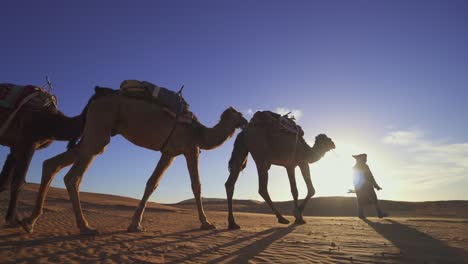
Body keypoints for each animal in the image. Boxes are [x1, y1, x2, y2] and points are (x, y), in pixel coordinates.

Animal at [0, 84, 112, 227]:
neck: (53, 123)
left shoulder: (16, 146)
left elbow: (4, 182)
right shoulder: (28, 142)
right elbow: (18, 182)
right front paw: (13, 220)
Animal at [21, 90, 249, 233]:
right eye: (239, 114)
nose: (246, 121)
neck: (201, 133)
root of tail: (94, 100)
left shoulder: (169, 153)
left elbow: (152, 183)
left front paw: (135, 224)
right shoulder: (190, 149)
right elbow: (196, 186)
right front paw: (207, 223)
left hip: (96, 132)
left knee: (51, 163)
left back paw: (29, 222)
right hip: (99, 128)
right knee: (73, 177)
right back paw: (85, 227)